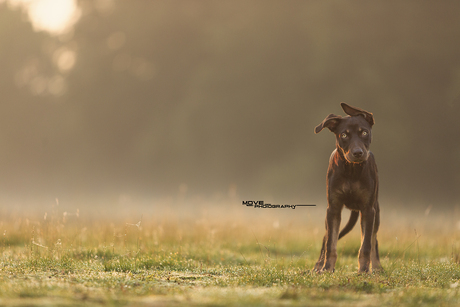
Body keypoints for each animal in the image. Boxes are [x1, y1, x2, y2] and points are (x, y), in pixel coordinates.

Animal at [312, 103, 380, 274]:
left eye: (364, 132)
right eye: (344, 135)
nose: (358, 153)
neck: (351, 171)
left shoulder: (368, 209)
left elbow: (366, 245)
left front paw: (363, 271)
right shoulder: (333, 208)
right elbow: (330, 244)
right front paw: (327, 269)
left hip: (376, 212)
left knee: (374, 239)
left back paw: (377, 268)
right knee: (325, 238)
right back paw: (318, 265)